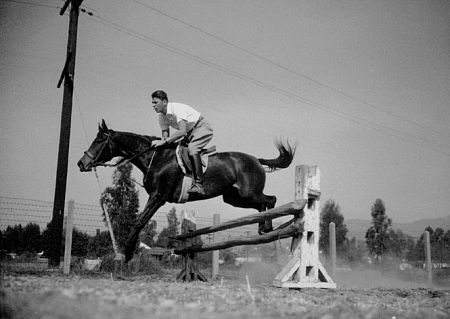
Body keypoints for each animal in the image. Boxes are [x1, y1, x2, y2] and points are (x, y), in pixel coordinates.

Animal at [77, 120, 296, 262]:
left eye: (99, 141)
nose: (81, 163)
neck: (155, 158)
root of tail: (256, 160)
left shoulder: (159, 196)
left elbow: (139, 221)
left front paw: (125, 254)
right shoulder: (156, 197)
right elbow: (139, 221)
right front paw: (127, 252)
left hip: (247, 193)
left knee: (270, 200)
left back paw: (267, 228)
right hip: (234, 197)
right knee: (262, 204)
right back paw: (263, 228)